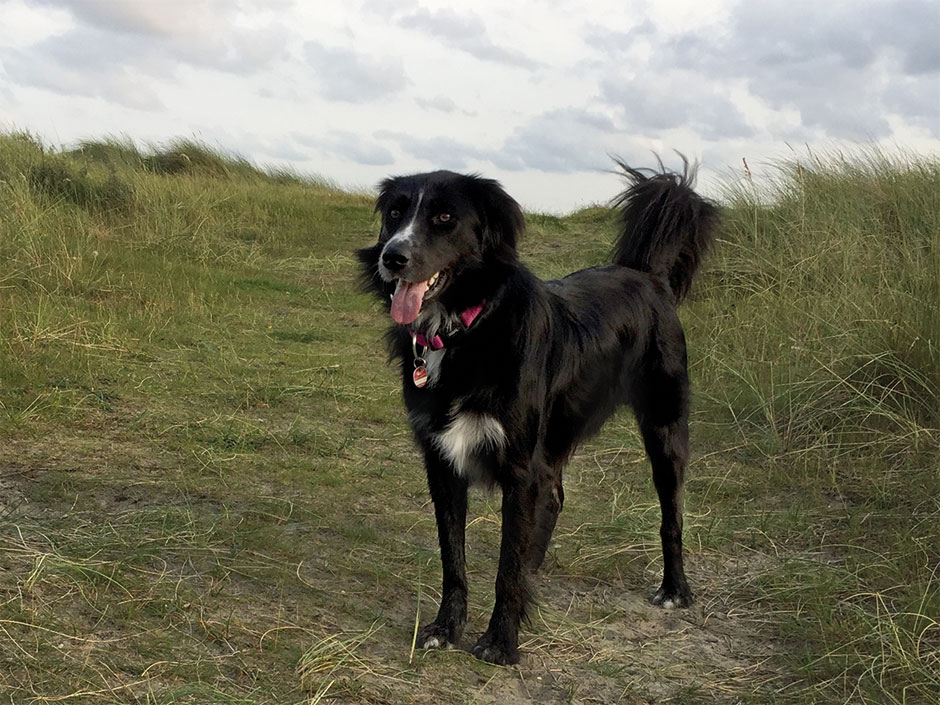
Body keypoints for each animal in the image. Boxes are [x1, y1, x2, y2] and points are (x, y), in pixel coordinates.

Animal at [358, 157, 720, 664]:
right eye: (395, 213)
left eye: (445, 218)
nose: (392, 257)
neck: (468, 327)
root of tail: (647, 275)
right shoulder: (442, 462)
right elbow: (454, 557)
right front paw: (445, 629)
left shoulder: (519, 465)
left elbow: (506, 564)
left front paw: (500, 641)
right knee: (554, 500)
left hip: (664, 428)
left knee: (672, 514)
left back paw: (675, 588)